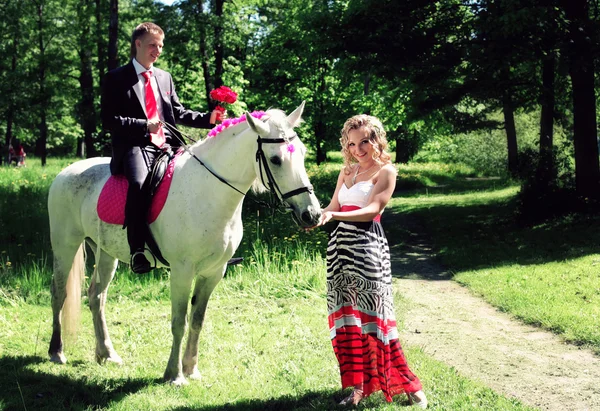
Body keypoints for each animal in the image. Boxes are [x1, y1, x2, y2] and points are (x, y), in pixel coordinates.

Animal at [47, 103, 324, 386]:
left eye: (303, 153)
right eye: (276, 159)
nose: (311, 214)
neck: (208, 191)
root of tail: (66, 171)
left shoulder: (213, 272)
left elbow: (197, 320)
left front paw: (191, 368)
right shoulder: (182, 271)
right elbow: (179, 321)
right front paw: (175, 374)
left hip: (105, 253)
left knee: (96, 296)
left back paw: (106, 353)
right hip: (65, 245)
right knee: (59, 292)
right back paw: (57, 351)